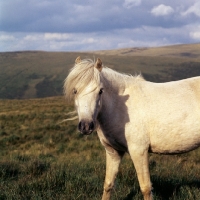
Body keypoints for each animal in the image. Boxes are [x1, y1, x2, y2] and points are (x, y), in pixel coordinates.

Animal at [63, 56, 200, 200]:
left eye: (100, 91)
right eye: (75, 91)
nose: (86, 126)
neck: (119, 107)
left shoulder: (139, 151)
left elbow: (146, 188)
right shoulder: (113, 152)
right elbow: (108, 184)